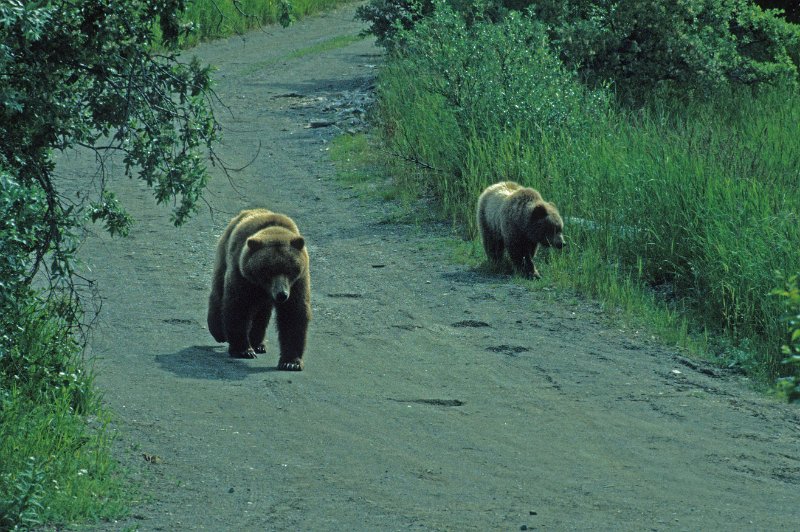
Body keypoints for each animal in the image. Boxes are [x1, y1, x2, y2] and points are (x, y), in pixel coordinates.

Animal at [208, 208, 310, 370]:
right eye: (269, 270)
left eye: (290, 270)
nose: (282, 294)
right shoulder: (242, 275)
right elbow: (238, 306)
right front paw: (244, 350)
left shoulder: (298, 282)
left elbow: (293, 314)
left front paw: (291, 362)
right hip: (224, 255)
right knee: (218, 293)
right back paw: (219, 332)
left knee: (262, 314)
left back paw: (258, 344)